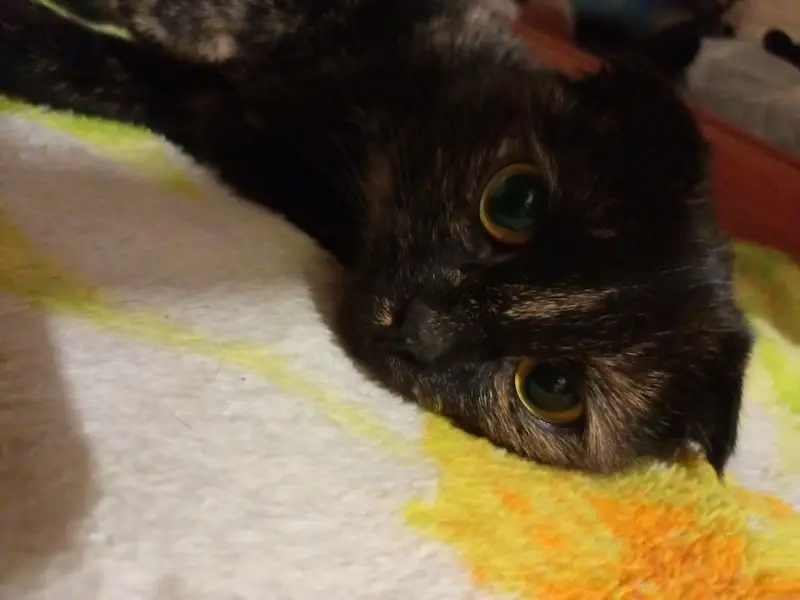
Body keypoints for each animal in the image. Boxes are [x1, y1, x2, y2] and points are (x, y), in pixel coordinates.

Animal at [0, 0, 752, 474]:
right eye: (515, 200)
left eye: (552, 386)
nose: (422, 327)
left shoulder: (229, 121)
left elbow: (136, 76)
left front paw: (26, 38)